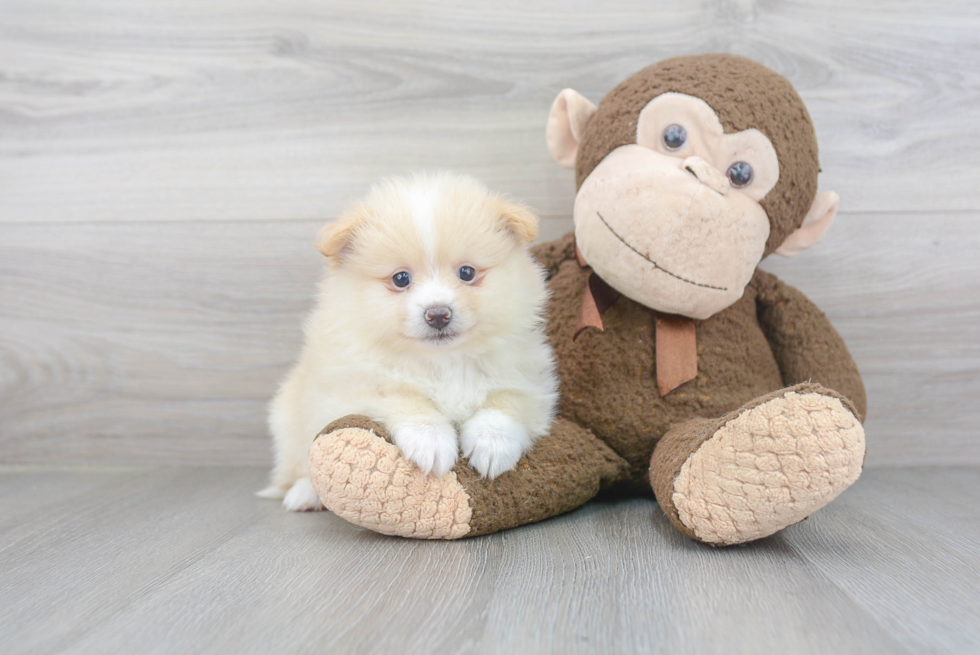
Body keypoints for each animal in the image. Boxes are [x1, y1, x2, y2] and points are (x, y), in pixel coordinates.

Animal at [260, 172, 560, 510]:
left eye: (467, 273)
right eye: (401, 279)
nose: (438, 314)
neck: (442, 362)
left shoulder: (529, 380)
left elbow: (503, 405)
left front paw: (493, 445)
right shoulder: (354, 385)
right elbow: (404, 397)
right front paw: (431, 440)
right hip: (289, 419)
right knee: (299, 464)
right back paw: (304, 494)